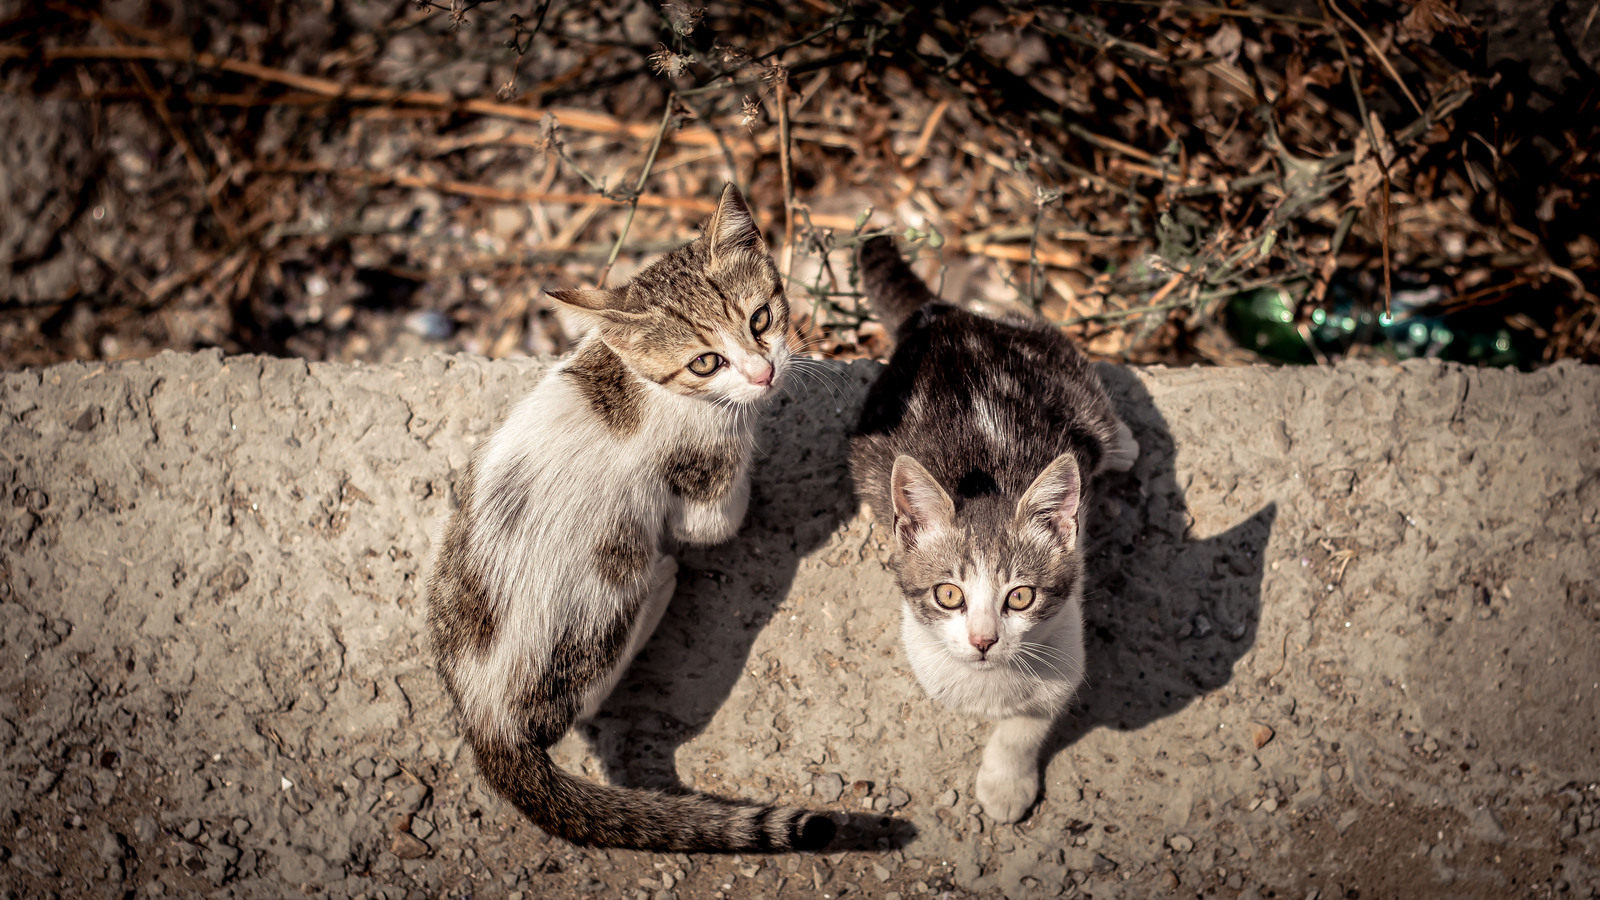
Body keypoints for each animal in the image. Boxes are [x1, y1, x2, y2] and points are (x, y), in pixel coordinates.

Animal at [428, 184, 838, 845]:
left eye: (760, 319)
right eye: (704, 362)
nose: (764, 372)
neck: (639, 380)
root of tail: (487, 724)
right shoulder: (703, 471)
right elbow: (717, 521)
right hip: (604, 601)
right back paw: (662, 585)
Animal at [851, 237, 1139, 819]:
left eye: (1021, 597)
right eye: (948, 594)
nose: (984, 640)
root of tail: (943, 317)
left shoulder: (1064, 657)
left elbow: (1025, 727)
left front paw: (1006, 783)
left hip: (1059, 363)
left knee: (1097, 416)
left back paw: (1122, 444)